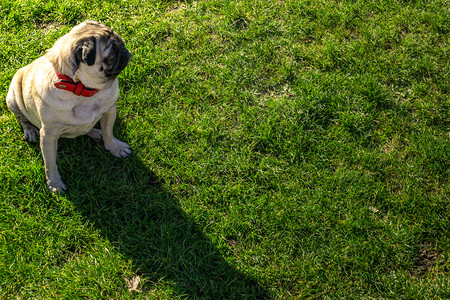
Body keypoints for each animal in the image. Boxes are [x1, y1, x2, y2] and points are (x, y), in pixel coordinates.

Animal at [6, 19, 132, 193]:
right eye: (112, 55)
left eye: (120, 41)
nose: (124, 50)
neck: (83, 90)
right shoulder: (48, 136)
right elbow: (50, 164)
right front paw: (54, 183)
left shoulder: (109, 111)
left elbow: (109, 133)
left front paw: (115, 147)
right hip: (12, 97)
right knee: (22, 118)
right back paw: (30, 130)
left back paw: (95, 132)